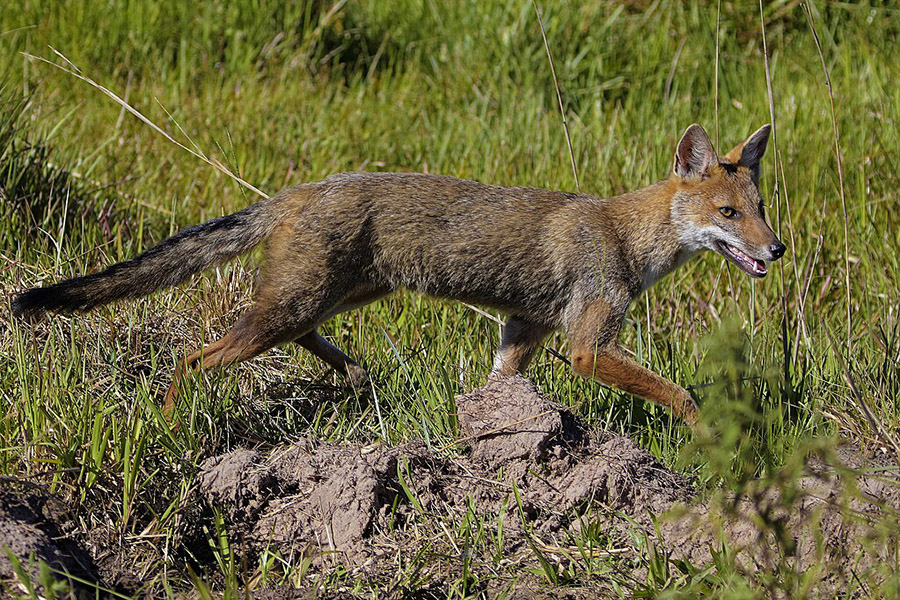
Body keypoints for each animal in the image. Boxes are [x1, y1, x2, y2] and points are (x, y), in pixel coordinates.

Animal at [11, 123, 785, 425]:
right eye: (727, 213)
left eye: (761, 209)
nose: (776, 251)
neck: (625, 238)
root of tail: (300, 190)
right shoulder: (587, 347)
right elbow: (680, 393)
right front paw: (710, 440)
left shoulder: (521, 335)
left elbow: (498, 388)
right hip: (293, 308)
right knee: (195, 359)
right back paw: (171, 422)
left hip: (333, 299)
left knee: (306, 341)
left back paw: (355, 375)